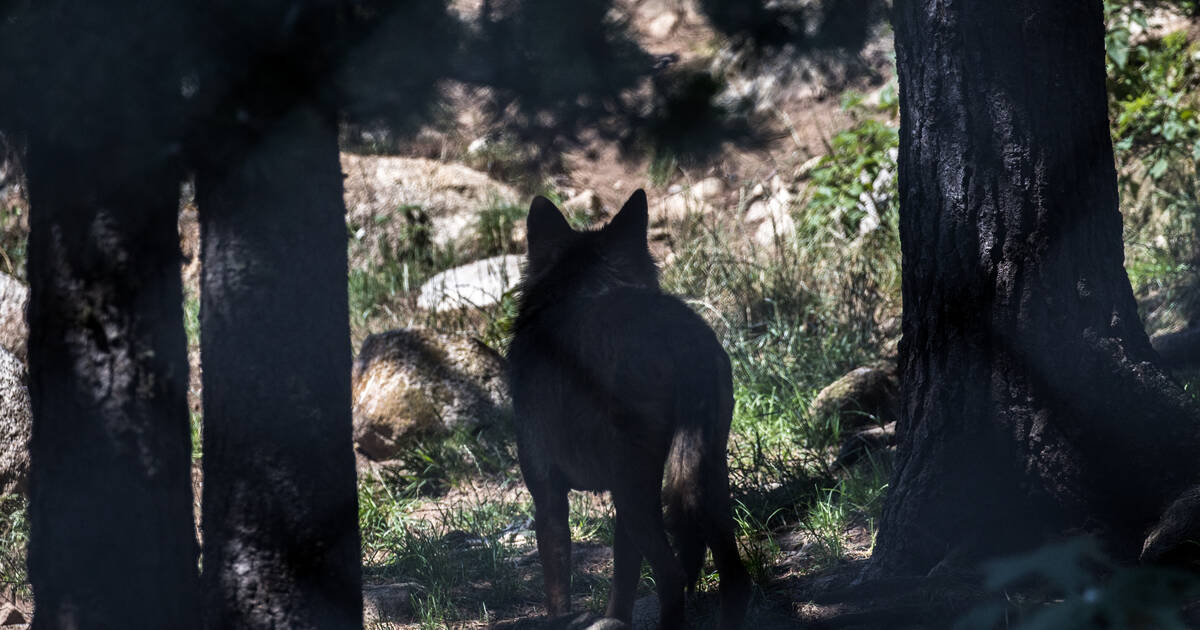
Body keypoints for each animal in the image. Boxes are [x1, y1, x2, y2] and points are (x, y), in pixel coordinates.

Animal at [506, 189, 748, 624]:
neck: (582, 289)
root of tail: (678, 332)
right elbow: (622, 584)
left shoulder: (548, 496)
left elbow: (558, 592)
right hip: (704, 477)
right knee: (735, 578)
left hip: (634, 490)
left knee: (672, 575)